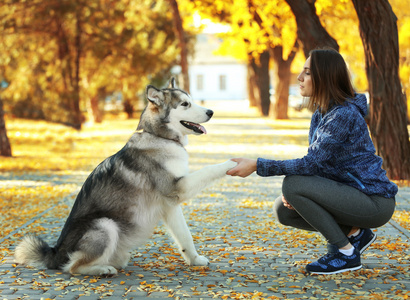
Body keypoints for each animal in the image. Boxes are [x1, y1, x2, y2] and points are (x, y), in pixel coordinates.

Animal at [14, 78, 237, 276]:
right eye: (185, 104)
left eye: (191, 100)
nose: (211, 112)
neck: (158, 136)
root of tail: (55, 252)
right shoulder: (177, 187)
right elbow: (209, 169)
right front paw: (232, 164)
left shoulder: (170, 205)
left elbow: (185, 236)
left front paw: (194, 259)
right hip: (105, 225)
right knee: (73, 267)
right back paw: (103, 270)